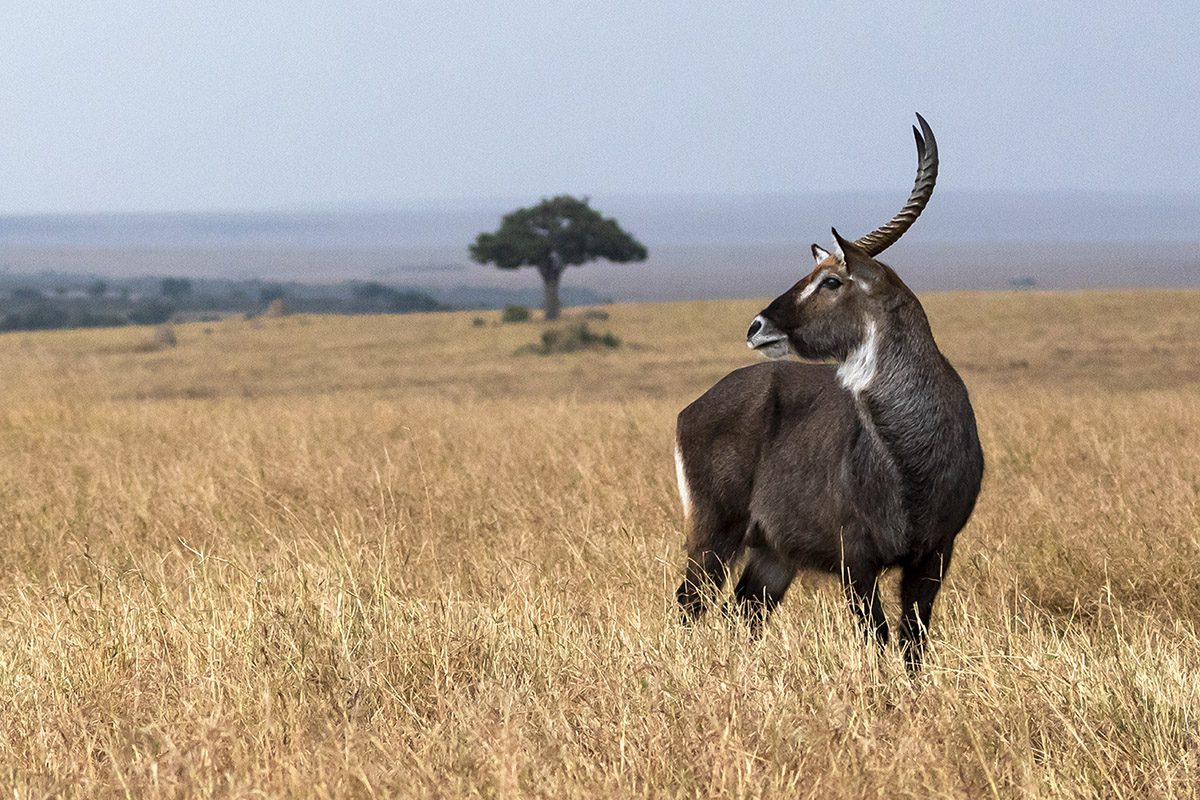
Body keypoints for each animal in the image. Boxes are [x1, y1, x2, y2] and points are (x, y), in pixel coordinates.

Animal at [673, 114, 983, 671]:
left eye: (832, 281)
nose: (757, 326)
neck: (910, 464)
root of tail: (695, 406)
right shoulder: (854, 560)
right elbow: (878, 640)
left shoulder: (934, 555)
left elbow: (913, 645)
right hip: (713, 534)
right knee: (690, 605)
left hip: (772, 553)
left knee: (741, 613)